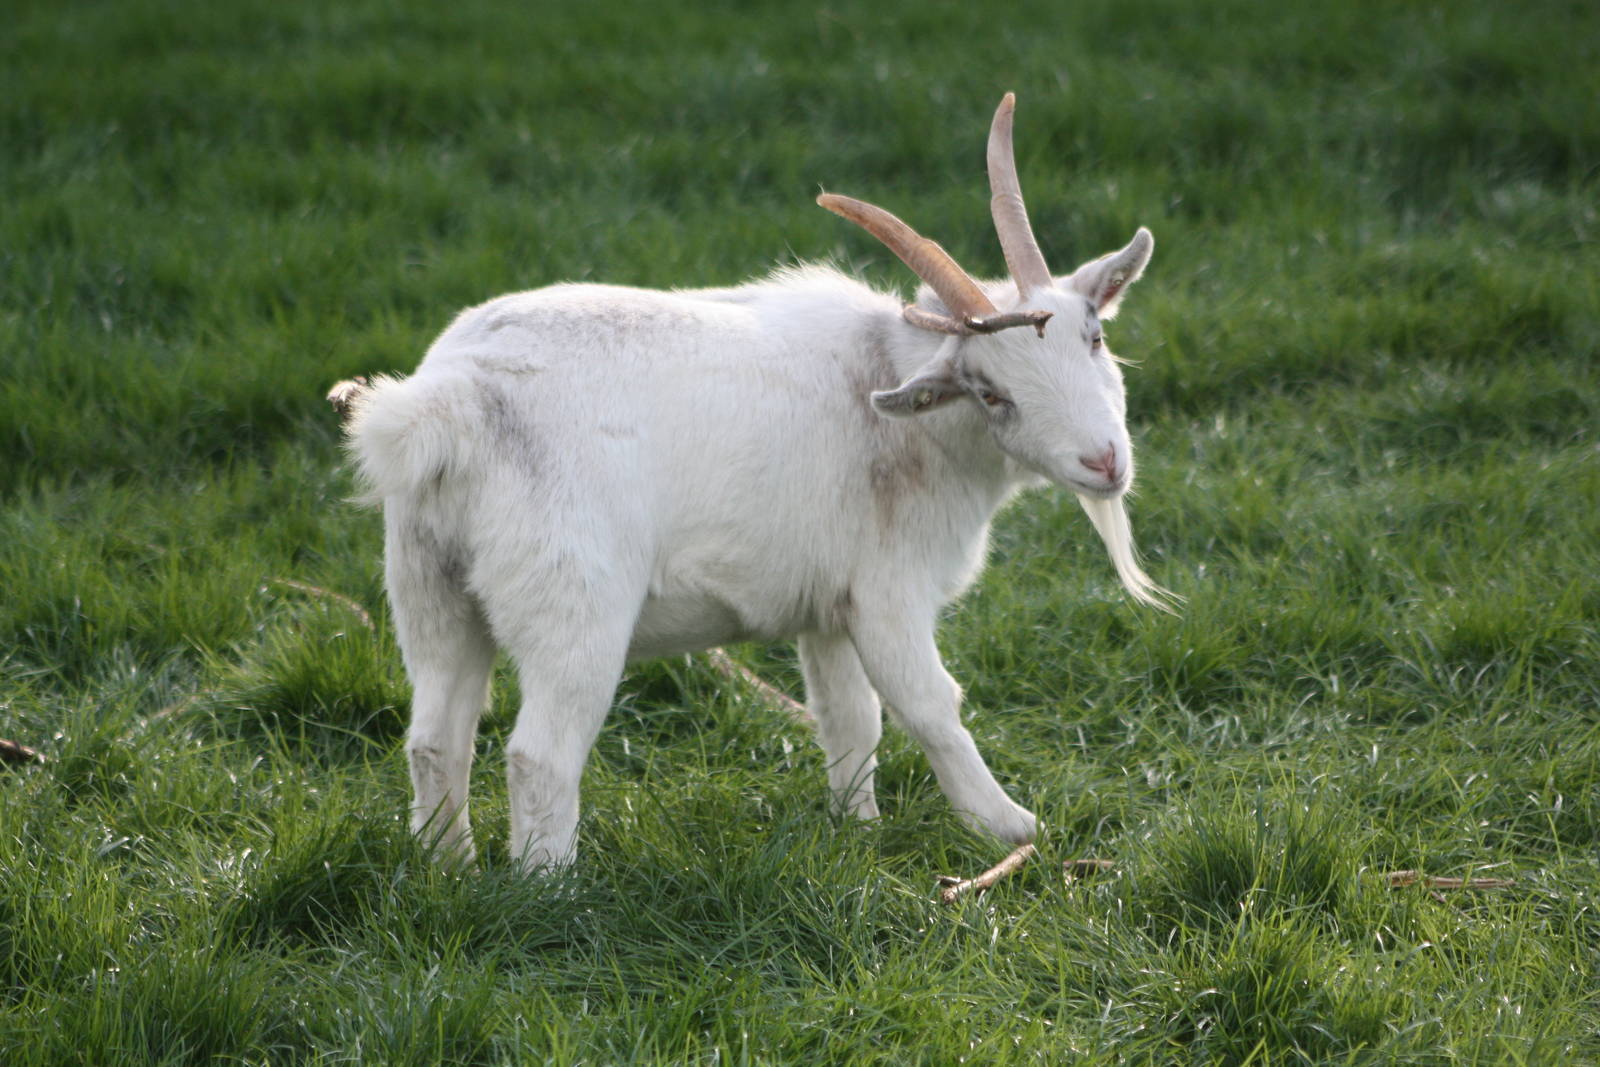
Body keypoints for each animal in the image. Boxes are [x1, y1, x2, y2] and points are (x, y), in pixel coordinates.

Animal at [341, 93, 1168, 869]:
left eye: (1095, 336)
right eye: (991, 392)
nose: (1105, 461)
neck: (891, 394)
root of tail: (449, 403)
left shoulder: (828, 602)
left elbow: (849, 716)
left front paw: (857, 831)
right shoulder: (887, 589)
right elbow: (931, 704)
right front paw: (1011, 826)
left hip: (429, 586)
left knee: (434, 738)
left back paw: (447, 869)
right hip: (572, 600)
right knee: (538, 755)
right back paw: (551, 890)